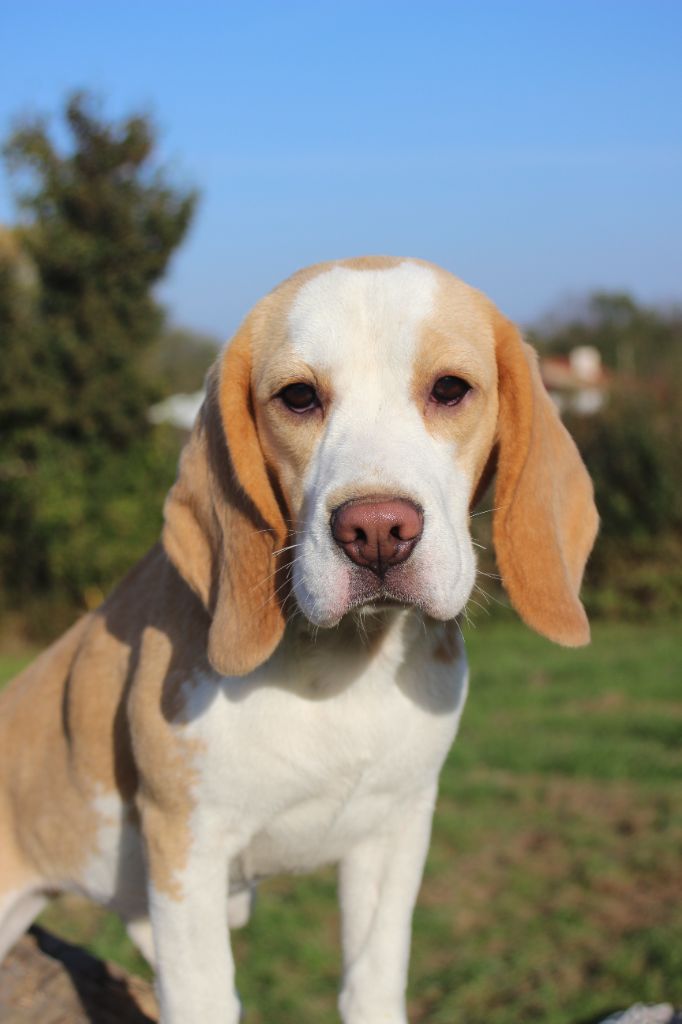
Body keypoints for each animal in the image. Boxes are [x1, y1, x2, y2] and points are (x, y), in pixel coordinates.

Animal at [0, 256, 593, 1015]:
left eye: (450, 389)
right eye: (299, 397)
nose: (377, 530)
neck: (340, 670)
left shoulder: (394, 832)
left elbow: (372, 983)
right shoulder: (187, 855)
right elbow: (205, 998)